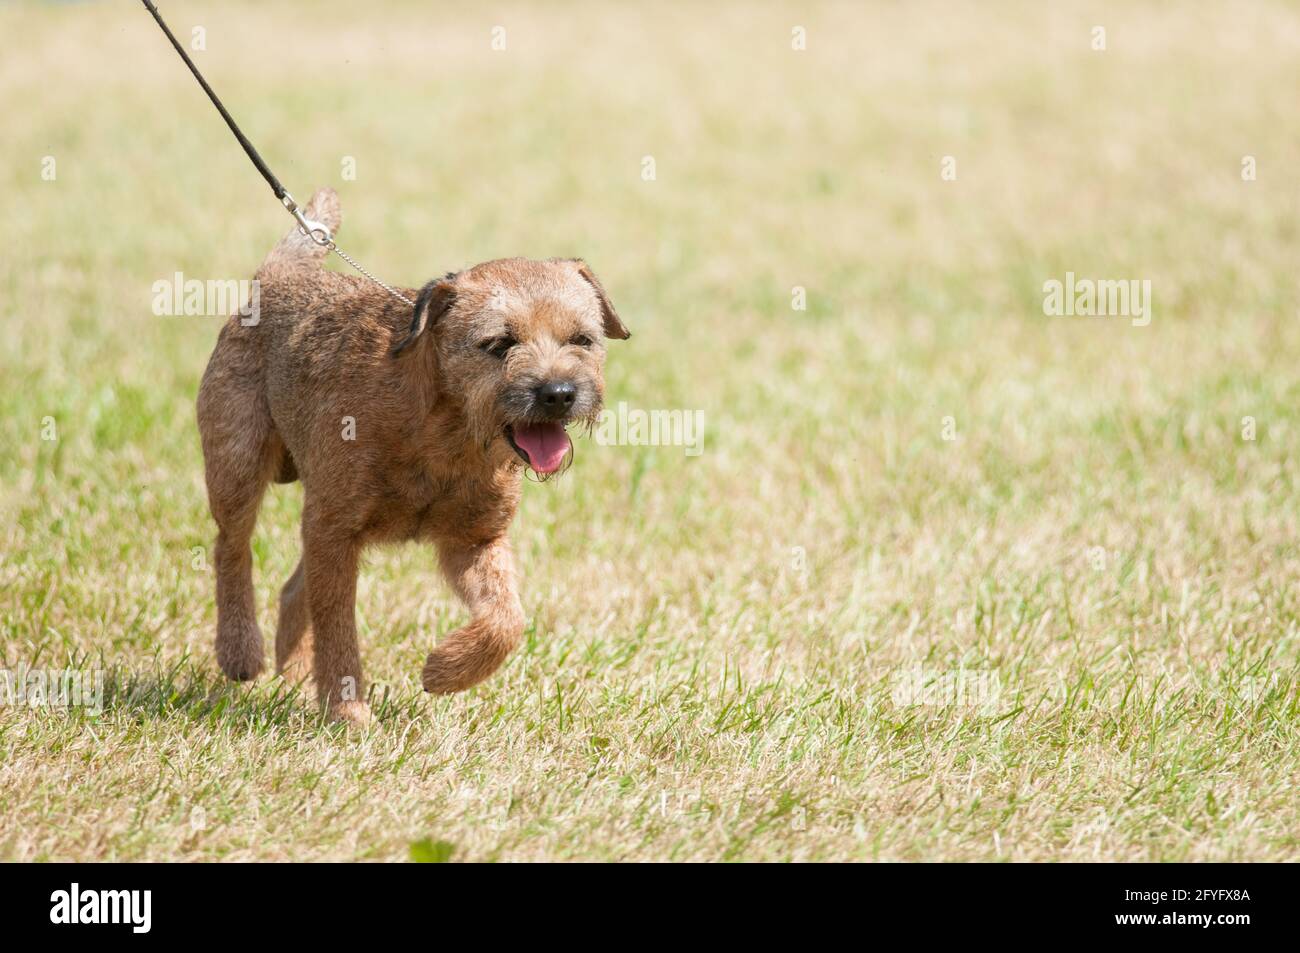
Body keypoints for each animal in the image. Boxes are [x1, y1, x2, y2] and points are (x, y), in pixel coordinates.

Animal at [193, 189, 634, 722]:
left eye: (582, 340)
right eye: (499, 344)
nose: (559, 393)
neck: (445, 433)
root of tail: (276, 279)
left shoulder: (475, 540)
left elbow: (507, 620)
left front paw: (445, 671)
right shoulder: (335, 532)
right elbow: (339, 629)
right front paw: (349, 715)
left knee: (295, 587)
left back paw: (294, 673)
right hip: (238, 462)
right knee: (231, 548)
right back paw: (240, 649)